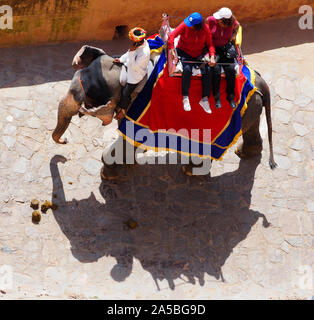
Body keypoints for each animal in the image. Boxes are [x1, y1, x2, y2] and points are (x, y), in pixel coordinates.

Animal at [52, 44, 278, 178]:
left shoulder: (139, 107)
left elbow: (130, 135)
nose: (65, 141)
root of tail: (261, 83)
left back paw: (190, 170)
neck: (125, 73)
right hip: (250, 109)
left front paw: (108, 173)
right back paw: (244, 153)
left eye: (84, 101)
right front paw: (134, 158)